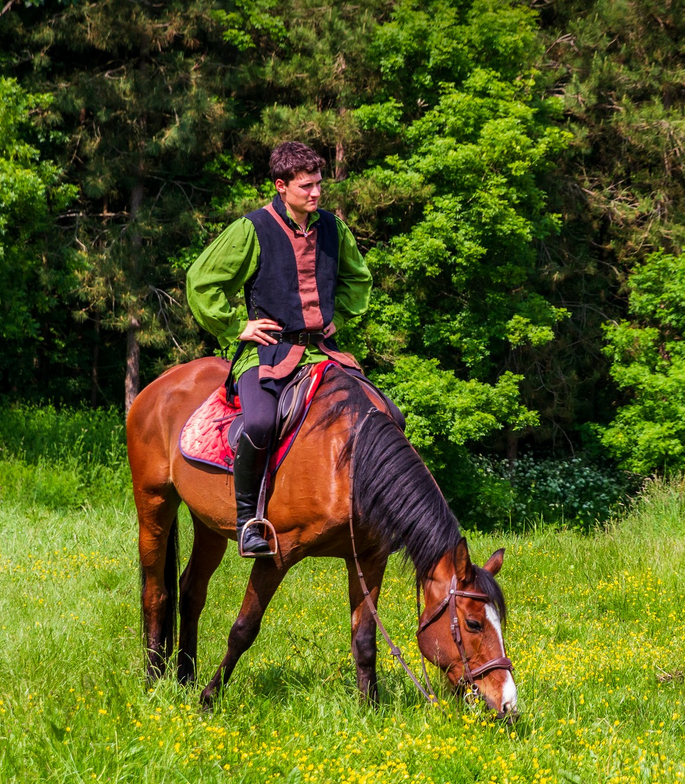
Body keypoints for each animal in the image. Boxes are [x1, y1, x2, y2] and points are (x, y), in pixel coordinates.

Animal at [127, 357, 518, 717]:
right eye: (473, 623)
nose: (508, 703)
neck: (349, 460)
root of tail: (164, 381)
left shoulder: (369, 559)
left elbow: (365, 638)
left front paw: (369, 707)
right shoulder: (277, 555)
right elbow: (243, 629)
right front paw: (210, 698)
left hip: (207, 524)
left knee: (192, 591)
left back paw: (185, 677)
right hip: (154, 502)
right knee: (156, 592)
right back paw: (153, 679)